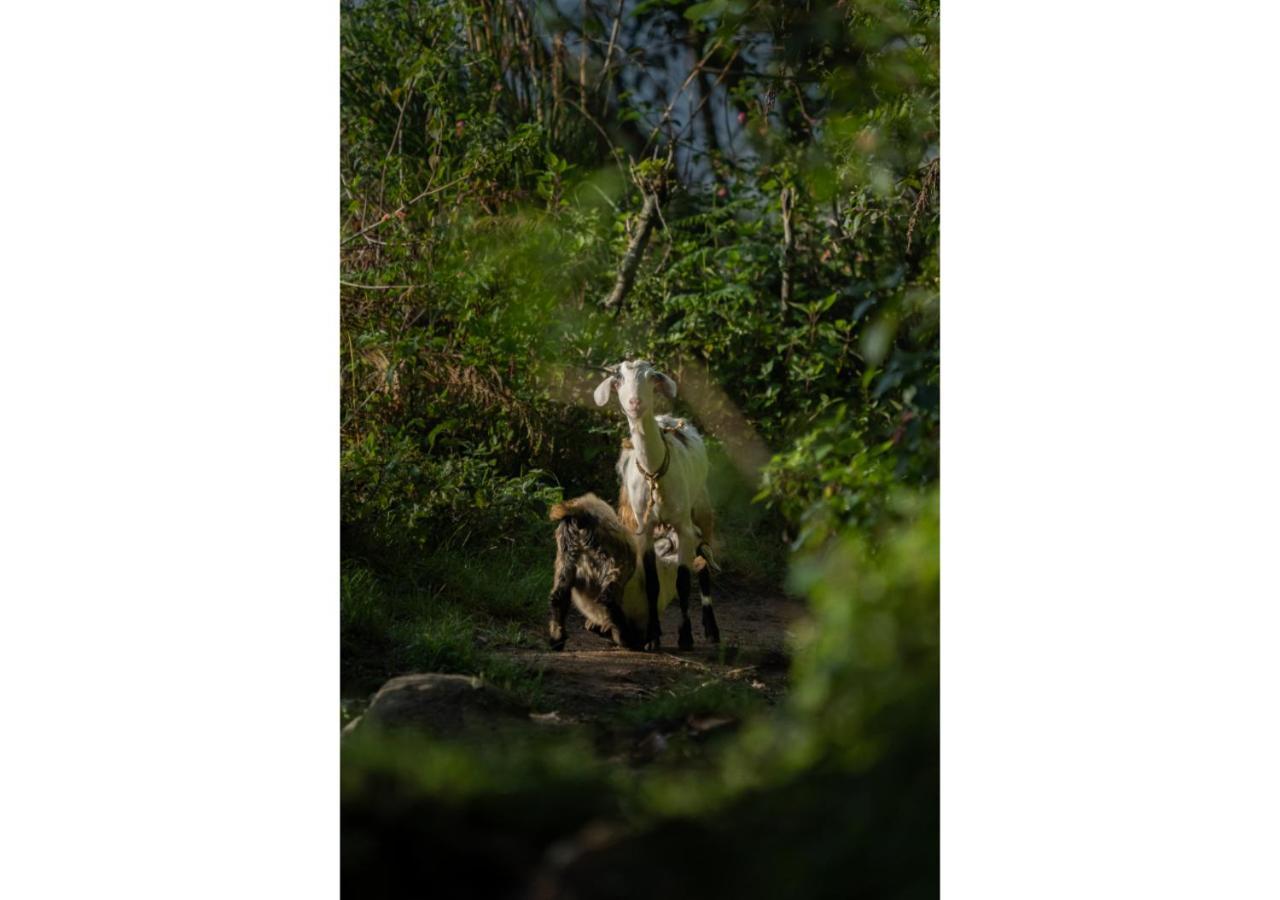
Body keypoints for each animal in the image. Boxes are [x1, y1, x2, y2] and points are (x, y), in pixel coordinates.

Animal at [591, 358, 721, 647]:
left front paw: (685, 636)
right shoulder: (645, 528)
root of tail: (668, 418)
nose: (635, 403)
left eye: (651, 377)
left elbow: (683, 580)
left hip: (702, 506)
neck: (654, 473)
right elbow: (651, 581)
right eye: (618, 380)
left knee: (704, 561)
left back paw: (712, 630)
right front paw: (652, 636)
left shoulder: (683, 525)